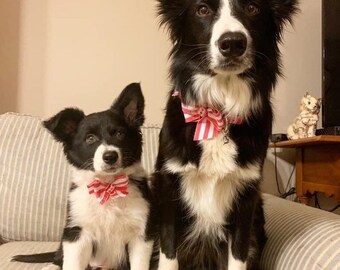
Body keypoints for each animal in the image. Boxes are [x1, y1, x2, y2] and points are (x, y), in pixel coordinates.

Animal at [12, 82, 154, 270]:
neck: (108, 185)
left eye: (120, 134)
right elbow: (72, 263)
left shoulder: (141, 233)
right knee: (58, 258)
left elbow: (139, 264)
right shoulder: (77, 232)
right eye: (90, 138)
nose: (110, 156)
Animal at [154, 0, 298, 270]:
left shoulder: (246, 196)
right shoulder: (169, 188)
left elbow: (238, 254)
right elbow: (168, 253)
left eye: (253, 8)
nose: (232, 43)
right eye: (202, 10)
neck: (218, 113)